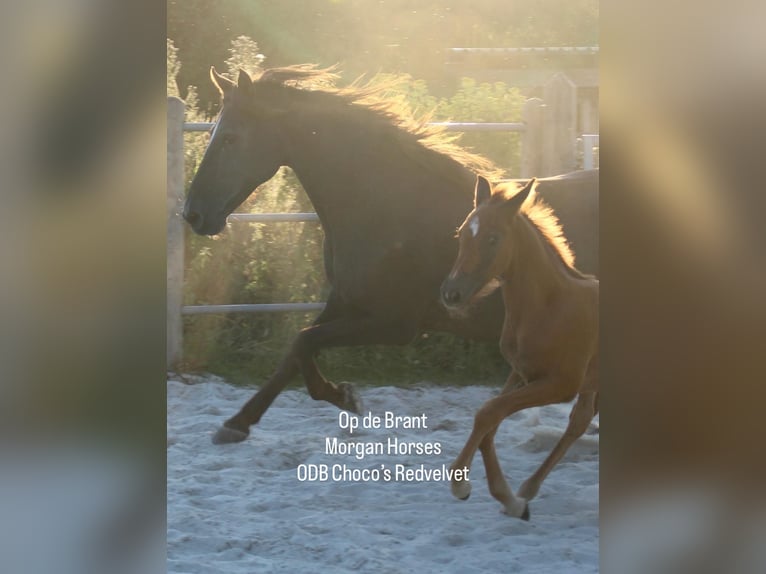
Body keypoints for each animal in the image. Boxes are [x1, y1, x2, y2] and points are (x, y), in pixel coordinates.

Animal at [182, 65, 599, 444]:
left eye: (231, 138)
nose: (192, 214)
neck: (383, 203)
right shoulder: (345, 301)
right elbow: (296, 350)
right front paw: (238, 422)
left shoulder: (394, 323)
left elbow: (304, 342)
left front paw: (345, 396)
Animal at [440, 175, 599, 520]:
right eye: (462, 234)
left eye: (493, 238)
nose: (451, 294)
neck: (550, 306)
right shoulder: (520, 373)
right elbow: (489, 421)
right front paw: (511, 501)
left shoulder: (560, 384)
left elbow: (488, 413)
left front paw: (464, 485)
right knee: (578, 422)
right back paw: (529, 488)